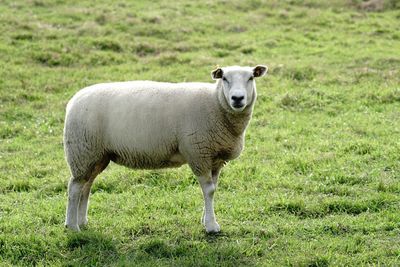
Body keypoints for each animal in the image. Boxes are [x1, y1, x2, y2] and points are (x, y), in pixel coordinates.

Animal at [64, 65, 268, 232]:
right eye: (224, 78)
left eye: (251, 77)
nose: (237, 98)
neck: (215, 104)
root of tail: (73, 100)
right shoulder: (198, 153)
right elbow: (209, 190)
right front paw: (211, 226)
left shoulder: (215, 158)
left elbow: (213, 188)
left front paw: (205, 220)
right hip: (81, 151)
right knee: (74, 188)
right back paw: (72, 226)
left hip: (95, 156)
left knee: (86, 187)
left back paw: (82, 221)